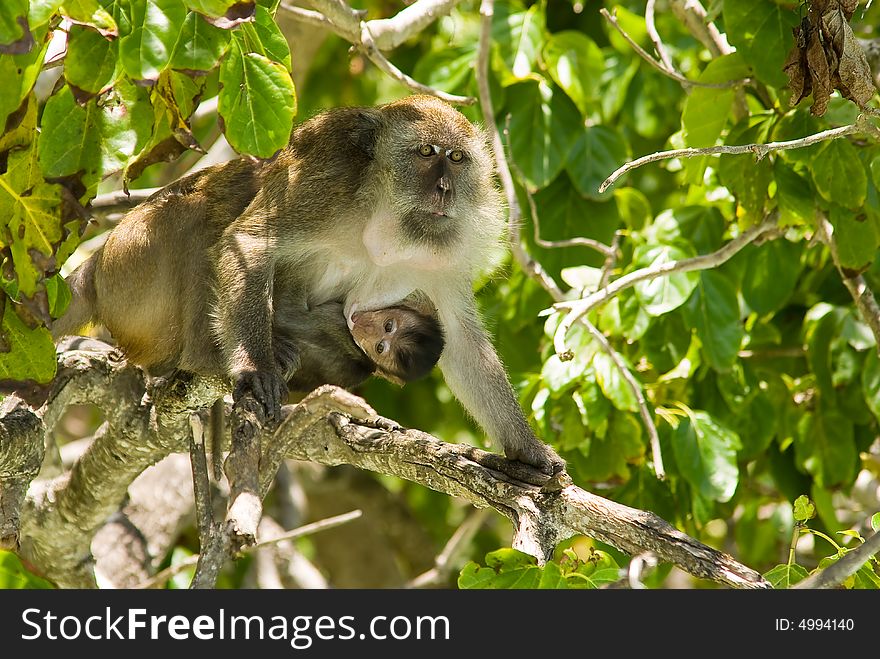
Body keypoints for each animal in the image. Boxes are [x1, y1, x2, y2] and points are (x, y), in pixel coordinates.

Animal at [56, 95, 564, 480]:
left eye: (457, 158)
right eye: (426, 152)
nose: (444, 189)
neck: (383, 217)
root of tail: (98, 266)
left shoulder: (443, 254)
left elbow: (461, 342)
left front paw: (529, 452)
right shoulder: (323, 183)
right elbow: (249, 243)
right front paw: (254, 367)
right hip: (136, 271)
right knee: (201, 220)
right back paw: (210, 357)